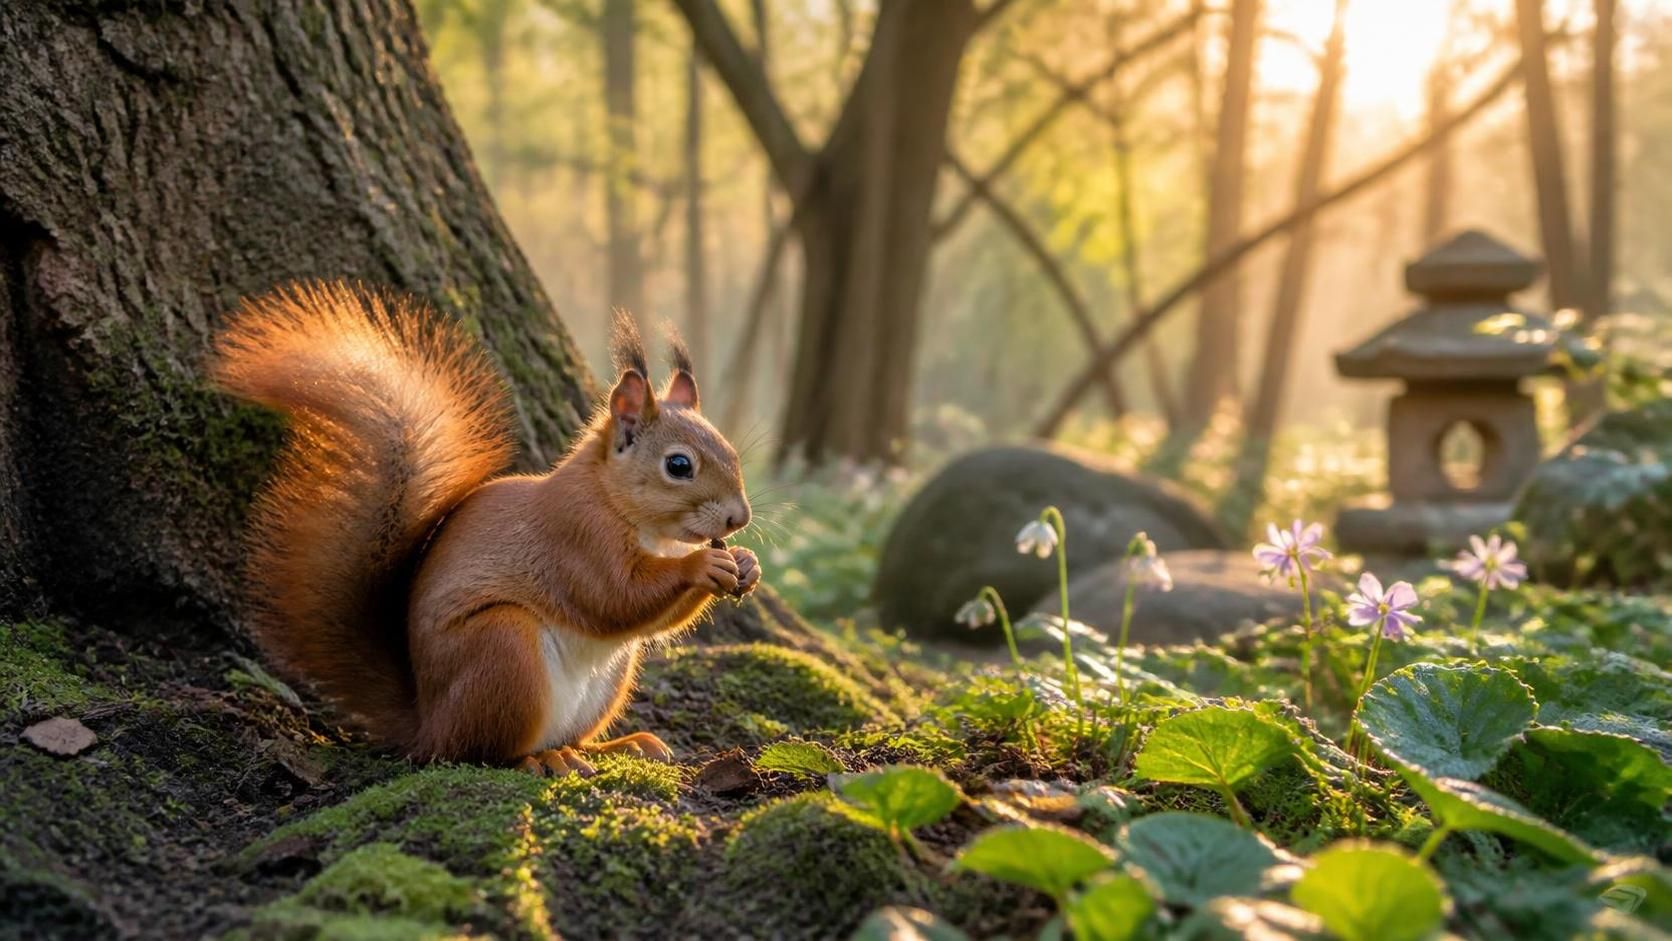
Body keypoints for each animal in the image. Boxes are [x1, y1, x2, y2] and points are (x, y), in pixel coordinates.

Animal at [210, 281, 760, 777]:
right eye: (679, 465)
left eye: (731, 452)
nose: (740, 519)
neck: (622, 506)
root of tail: (428, 723)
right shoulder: (575, 536)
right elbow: (615, 597)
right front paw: (702, 564)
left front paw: (746, 564)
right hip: (502, 650)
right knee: (480, 751)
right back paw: (540, 759)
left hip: (609, 679)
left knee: (568, 736)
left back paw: (617, 745)